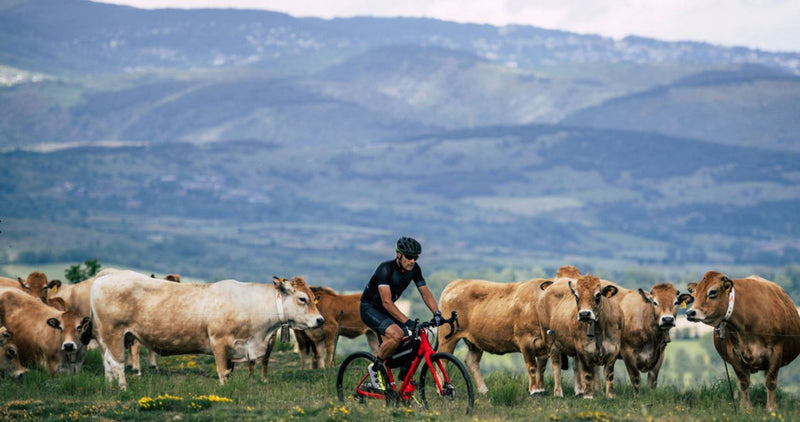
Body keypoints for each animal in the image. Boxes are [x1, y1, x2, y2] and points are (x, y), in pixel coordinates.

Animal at [680, 272, 800, 410]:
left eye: (713, 292)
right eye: (694, 295)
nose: (690, 313)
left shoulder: (776, 351)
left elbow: (770, 382)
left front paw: (771, 408)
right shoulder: (733, 354)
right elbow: (743, 382)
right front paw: (746, 408)